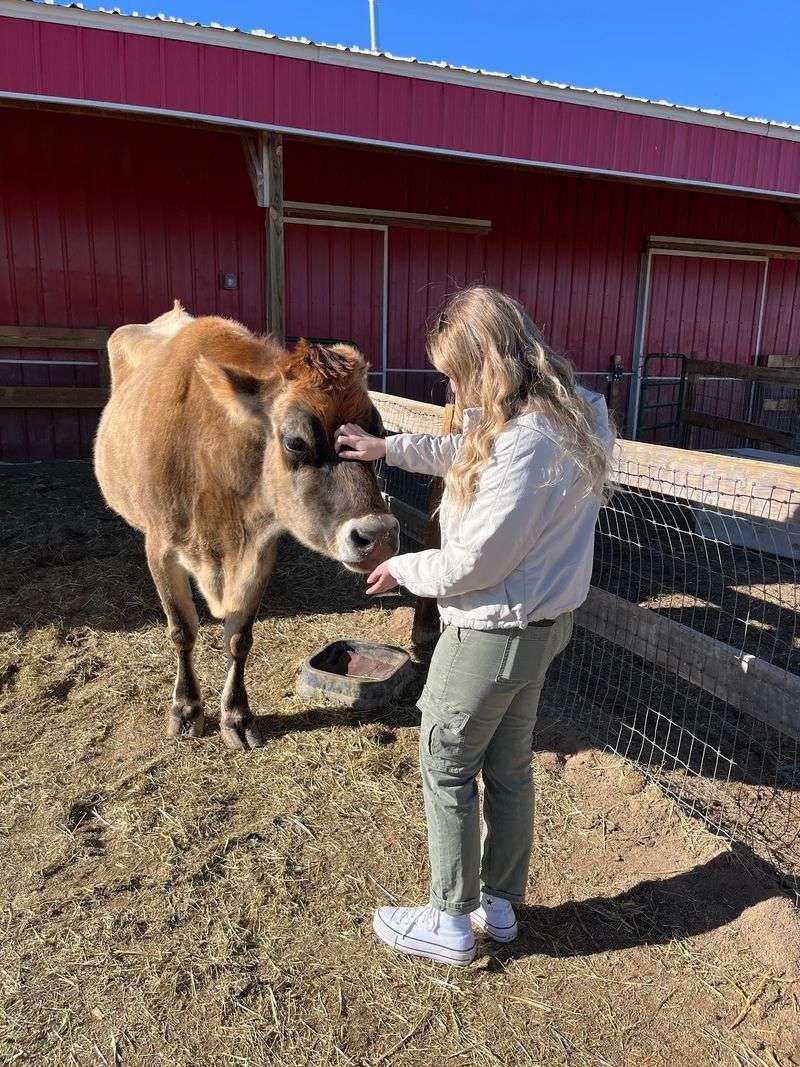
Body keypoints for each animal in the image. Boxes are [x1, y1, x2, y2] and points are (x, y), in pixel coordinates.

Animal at [94, 302, 398, 750]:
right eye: (295, 442)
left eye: (377, 432)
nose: (378, 537)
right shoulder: (161, 549)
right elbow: (181, 631)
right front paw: (186, 710)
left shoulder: (262, 549)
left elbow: (239, 638)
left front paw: (236, 715)